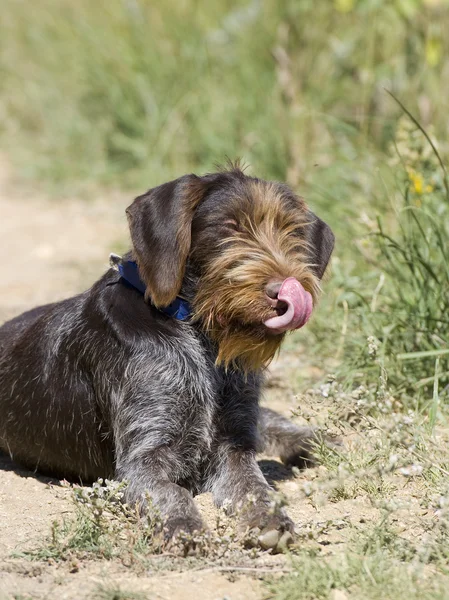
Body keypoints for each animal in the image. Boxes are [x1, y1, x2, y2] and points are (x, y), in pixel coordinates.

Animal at [0, 166, 332, 552]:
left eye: (292, 230)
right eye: (229, 225)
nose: (283, 292)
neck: (199, 335)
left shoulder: (234, 442)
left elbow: (255, 484)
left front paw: (269, 516)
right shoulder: (143, 457)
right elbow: (171, 492)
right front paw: (184, 525)